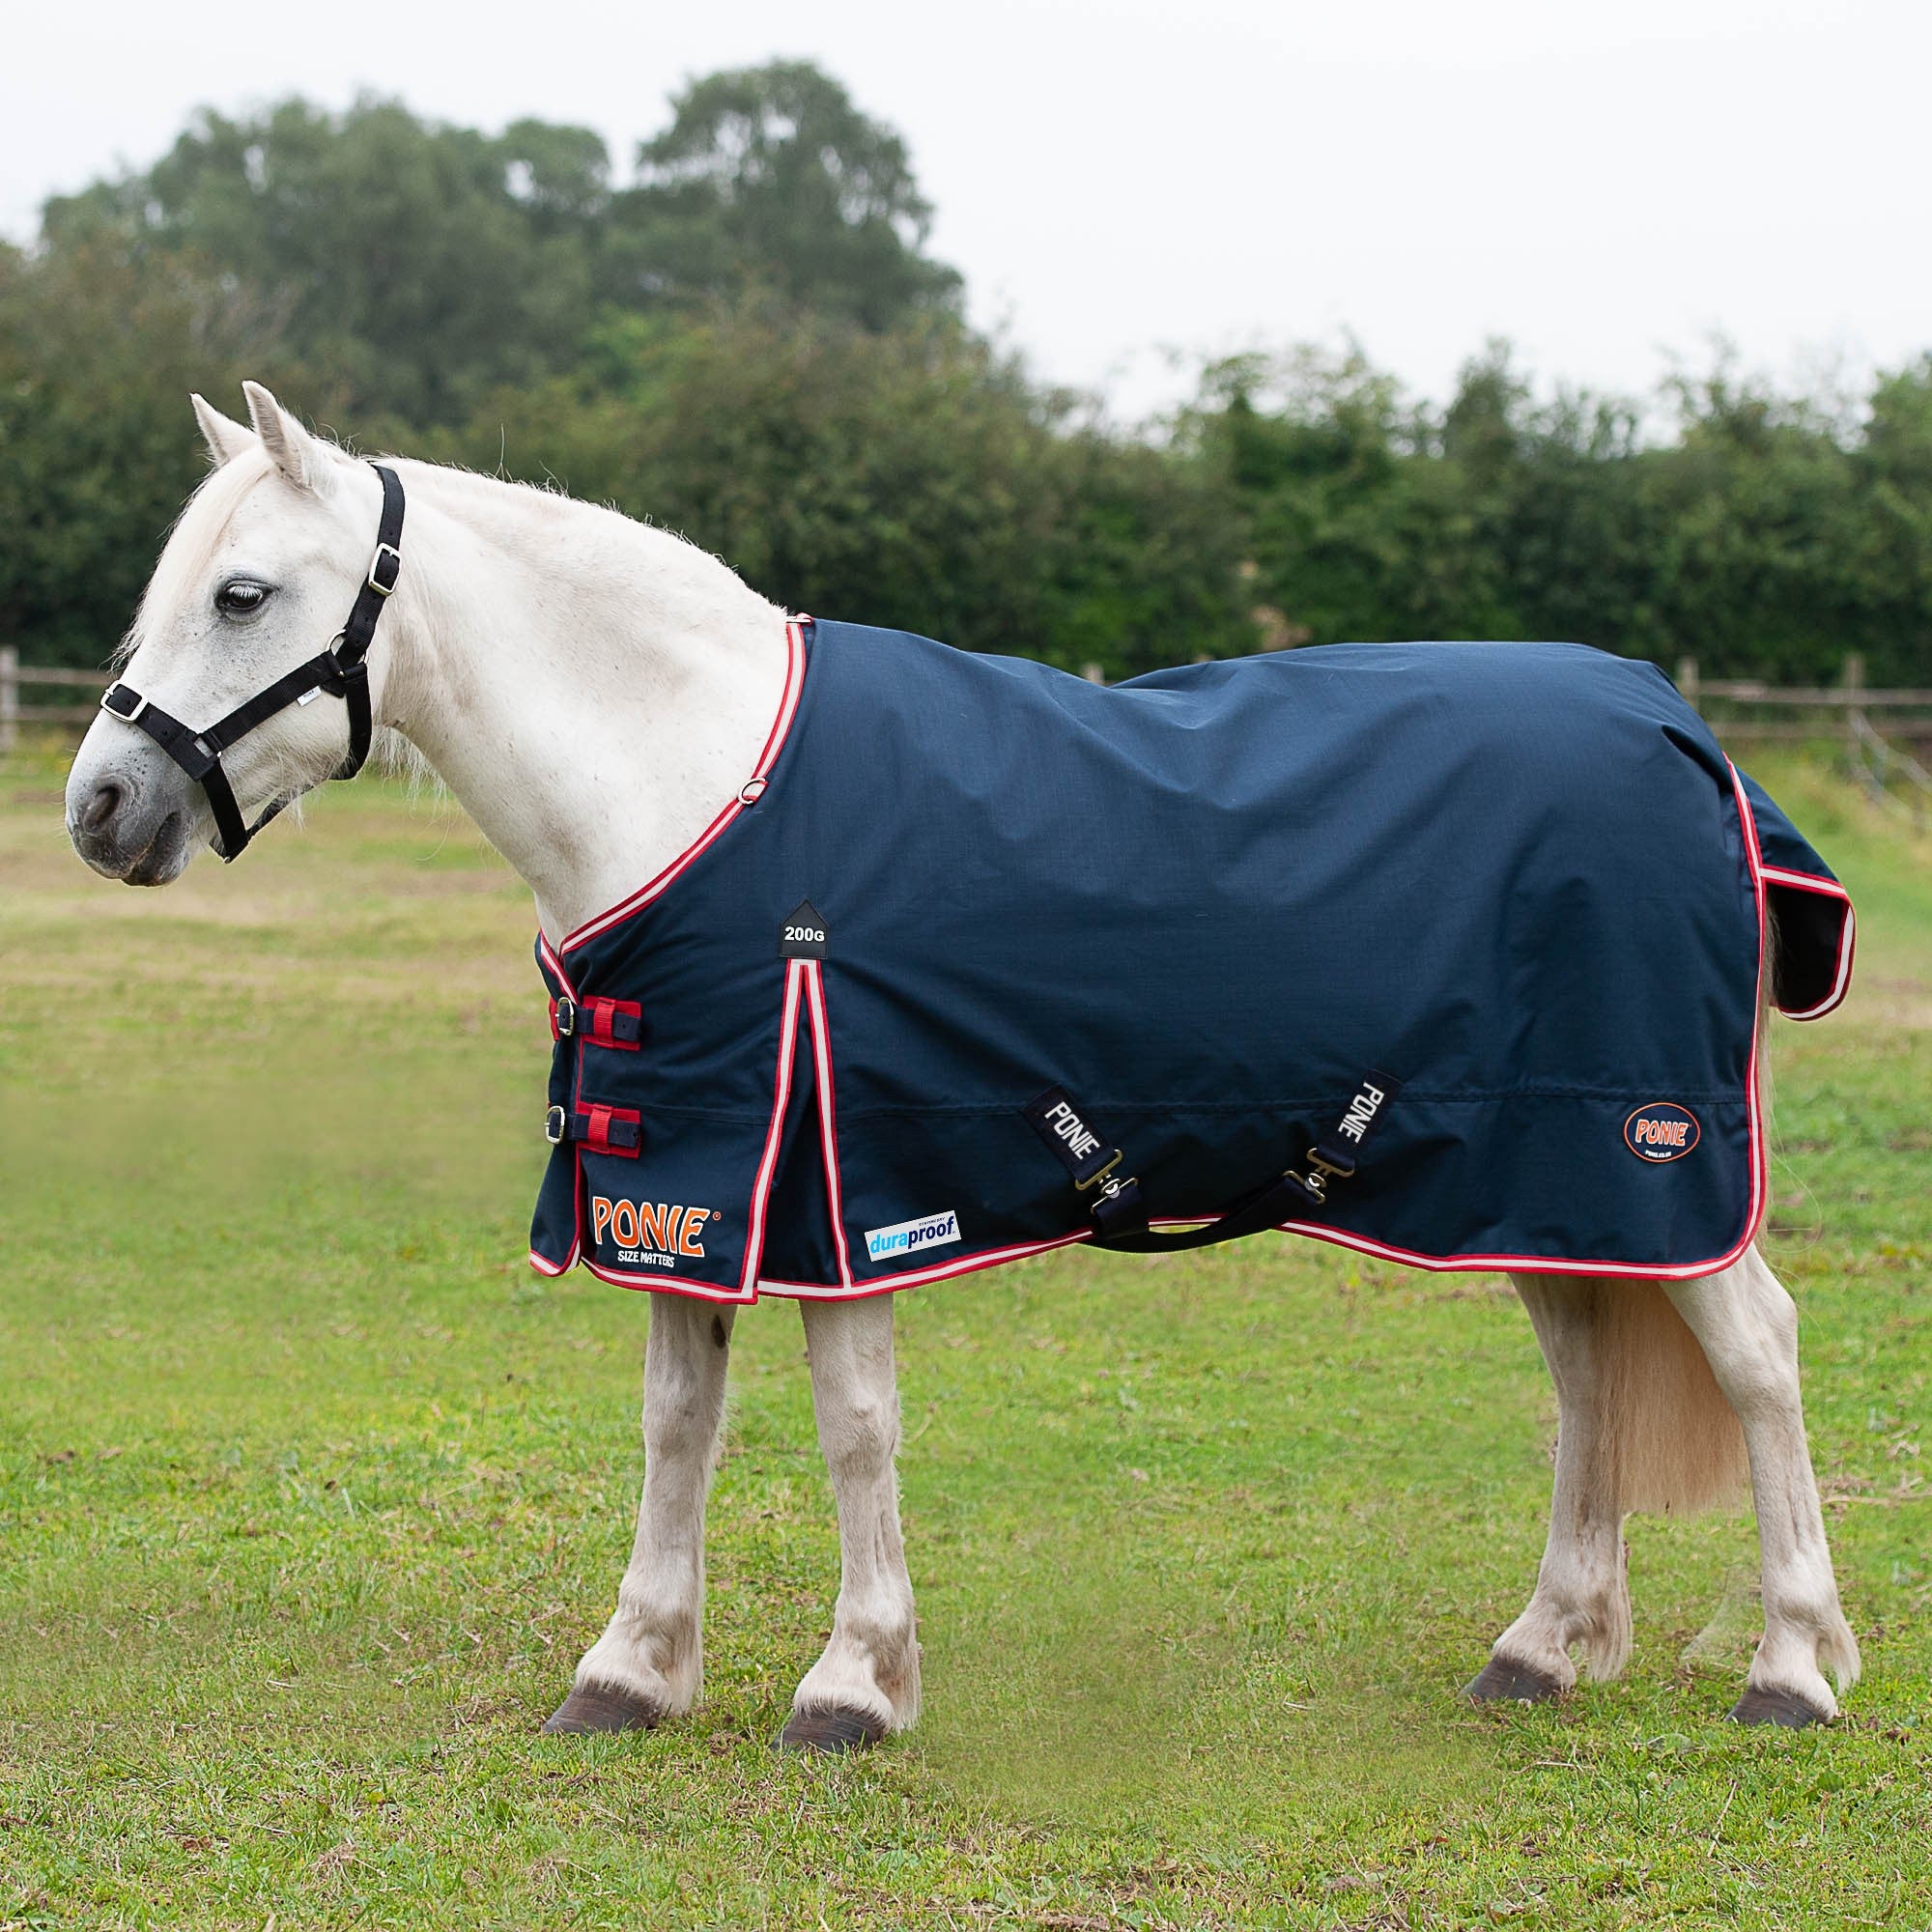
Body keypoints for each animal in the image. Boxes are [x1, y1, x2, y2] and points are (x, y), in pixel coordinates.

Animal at [63, 382, 1862, 1748]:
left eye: (244, 595)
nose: (99, 808)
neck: (706, 784)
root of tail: (1681, 730)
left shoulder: (843, 1176)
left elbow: (854, 1428)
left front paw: (853, 1685)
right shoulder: (689, 1174)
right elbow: (674, 1424)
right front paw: (633, 1672)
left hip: (1645, 1151)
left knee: (1759, 1354)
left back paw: (1790, 1663)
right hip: (1533, 1178)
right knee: (1588, 1375)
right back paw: (1548, 1647)